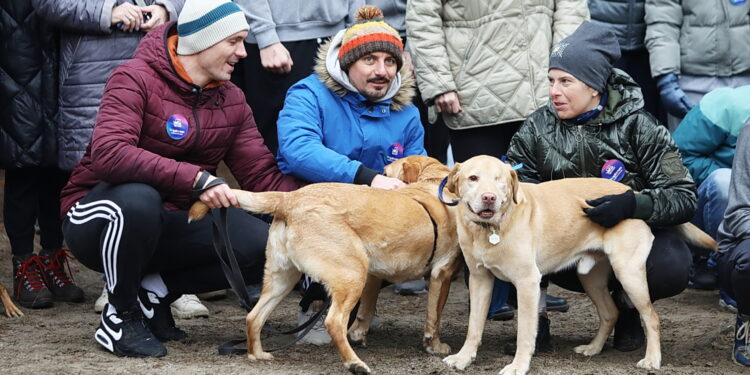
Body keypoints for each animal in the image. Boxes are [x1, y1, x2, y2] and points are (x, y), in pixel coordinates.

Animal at [188, 155, 464, 374]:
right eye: (385, 175)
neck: (431, 184)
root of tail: (290, 199)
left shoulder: (374, 276)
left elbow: (365, 312)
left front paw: (359, 334)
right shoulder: (442, 274)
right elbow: (434, 318)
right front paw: (435, 346)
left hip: (283, 279)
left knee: (254, 317)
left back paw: (258, 355)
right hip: (352, 275)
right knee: (334, 322)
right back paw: (355, 364)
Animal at [440, 156, 716, 375]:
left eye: (500, 180)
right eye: (473, 178)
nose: (489, 198)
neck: (491, 229)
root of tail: (633, 192)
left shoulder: (527, 282)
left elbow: (525, 332)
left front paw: (519, 366)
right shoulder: (479, 279)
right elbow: (474, 326)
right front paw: (463, 358)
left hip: (629, 273)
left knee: (652, 317)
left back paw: (651, 359)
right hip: (592, 278)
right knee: (610, 312)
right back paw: (593, 348)